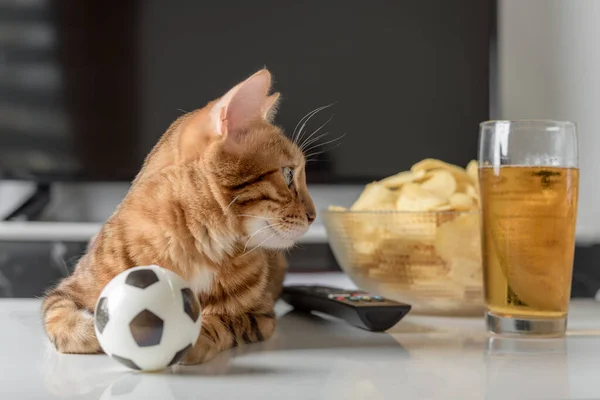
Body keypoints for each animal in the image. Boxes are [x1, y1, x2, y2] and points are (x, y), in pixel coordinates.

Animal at [41, 70, 314, 364]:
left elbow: (225, 320)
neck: (199, 246)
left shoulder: (261, 316)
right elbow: (59, 315)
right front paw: (93, 328)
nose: (313, 215)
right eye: (288, 175)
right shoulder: (68, 289)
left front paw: (196, 335)